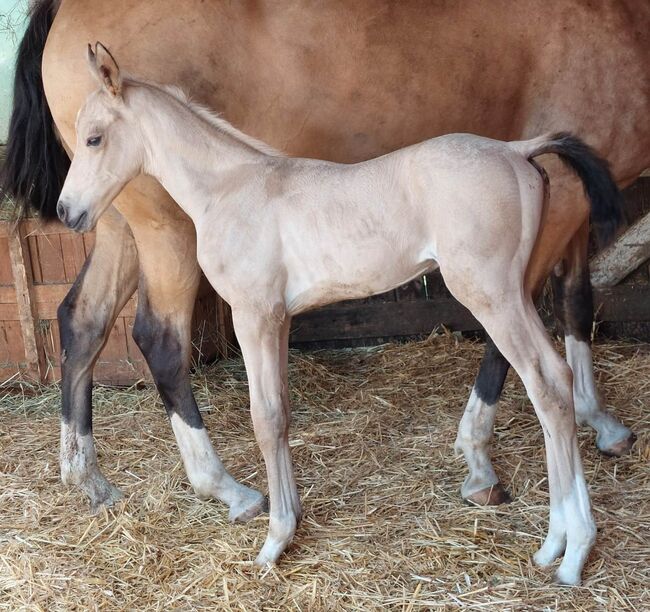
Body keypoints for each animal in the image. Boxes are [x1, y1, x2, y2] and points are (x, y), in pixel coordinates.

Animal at [2, 0, 644, 512]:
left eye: (95, 137)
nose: (67, 212)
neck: (235, 183)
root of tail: (517, 150)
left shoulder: (262, 312)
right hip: (147, 226)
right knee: (130, 332)